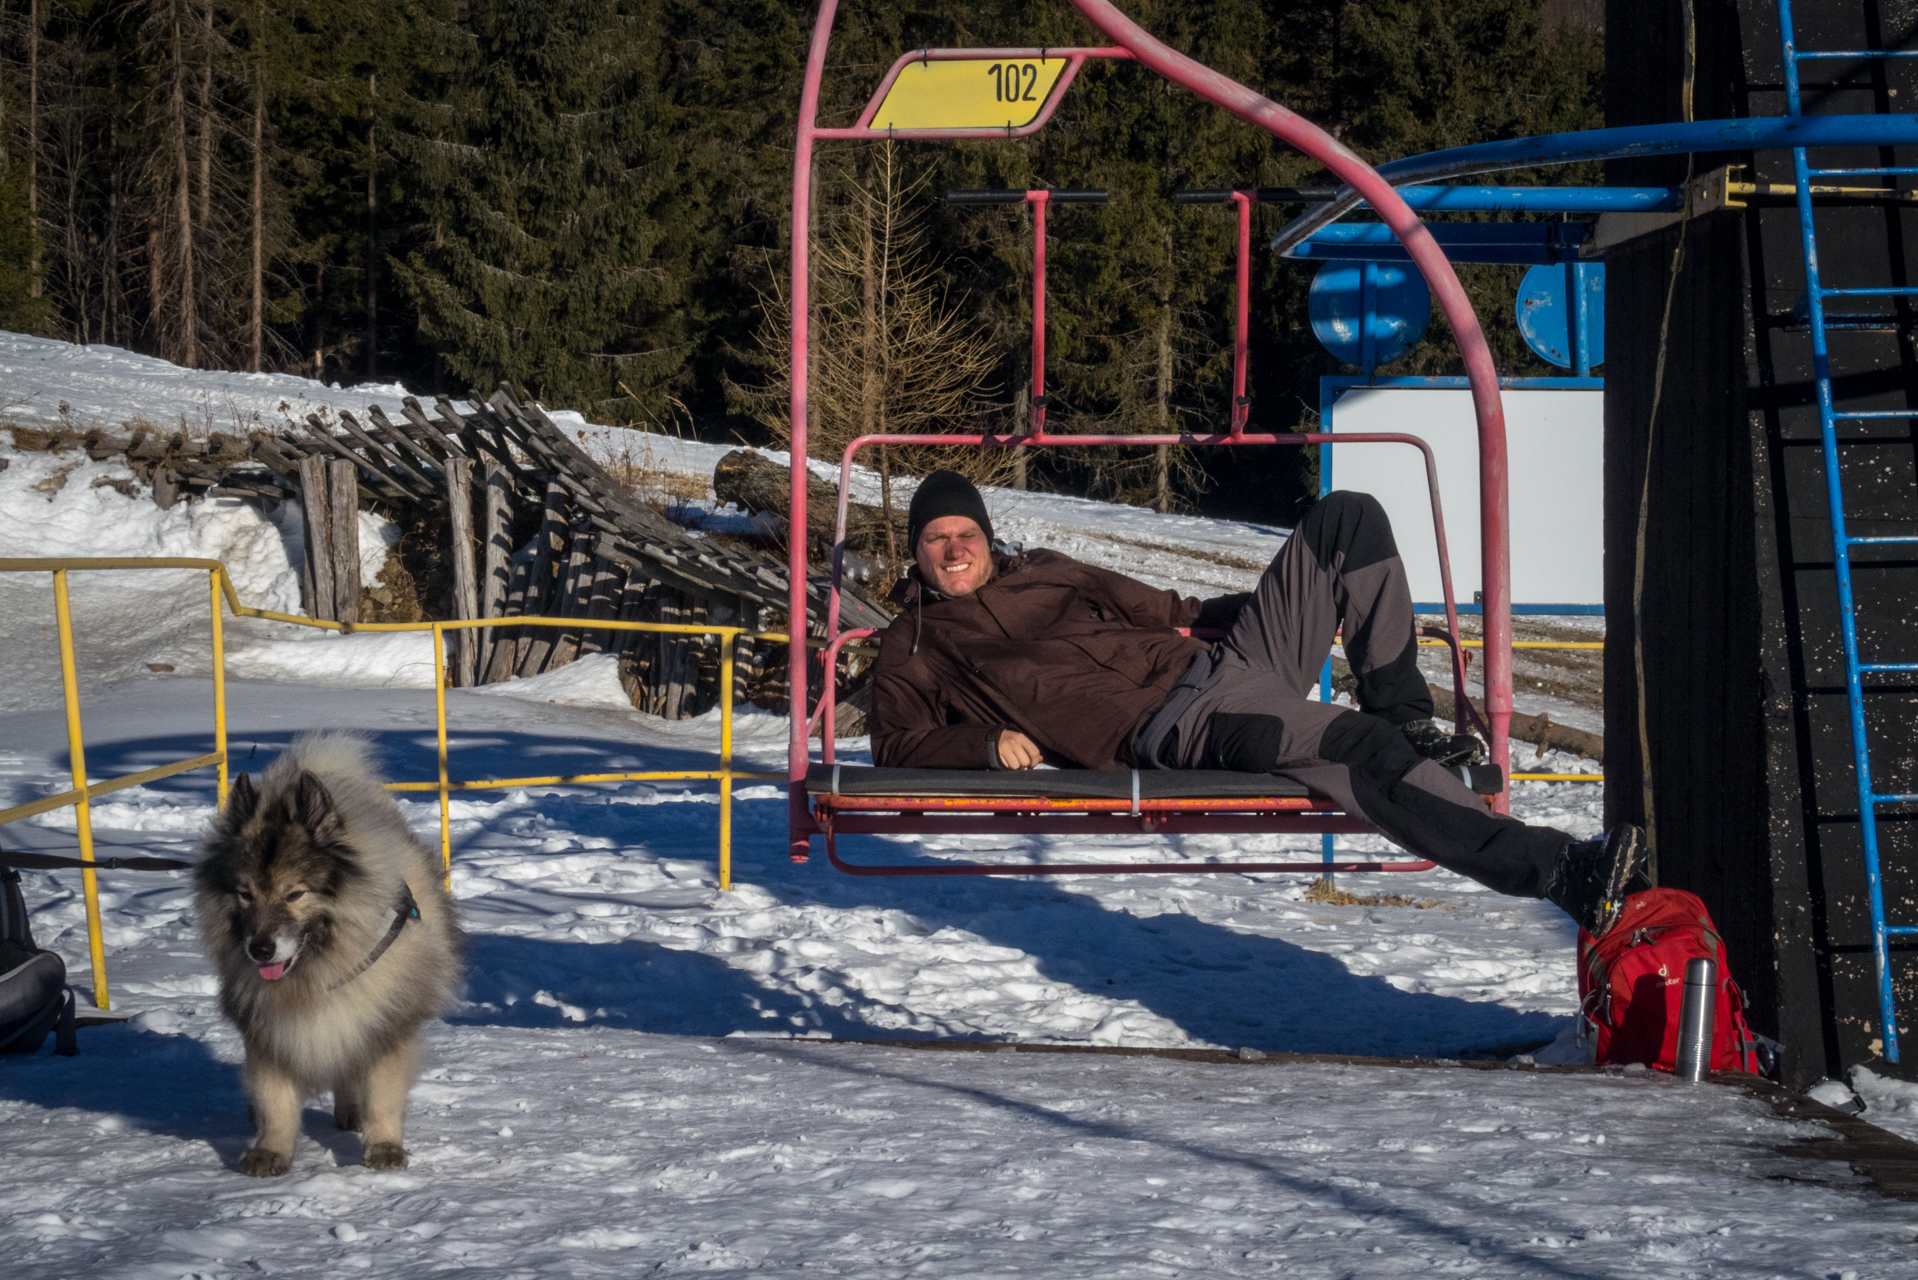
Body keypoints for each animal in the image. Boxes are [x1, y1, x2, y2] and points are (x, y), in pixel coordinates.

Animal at [193, 736, 464, 1174]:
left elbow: (382, 1096)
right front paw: (270, 1150)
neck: (317, 969)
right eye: (245, 894)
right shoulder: (268, 1031)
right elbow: (275, 1100)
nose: (260, 949)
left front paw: (384, 1147)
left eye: (294, 893)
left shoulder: (385, 1023)